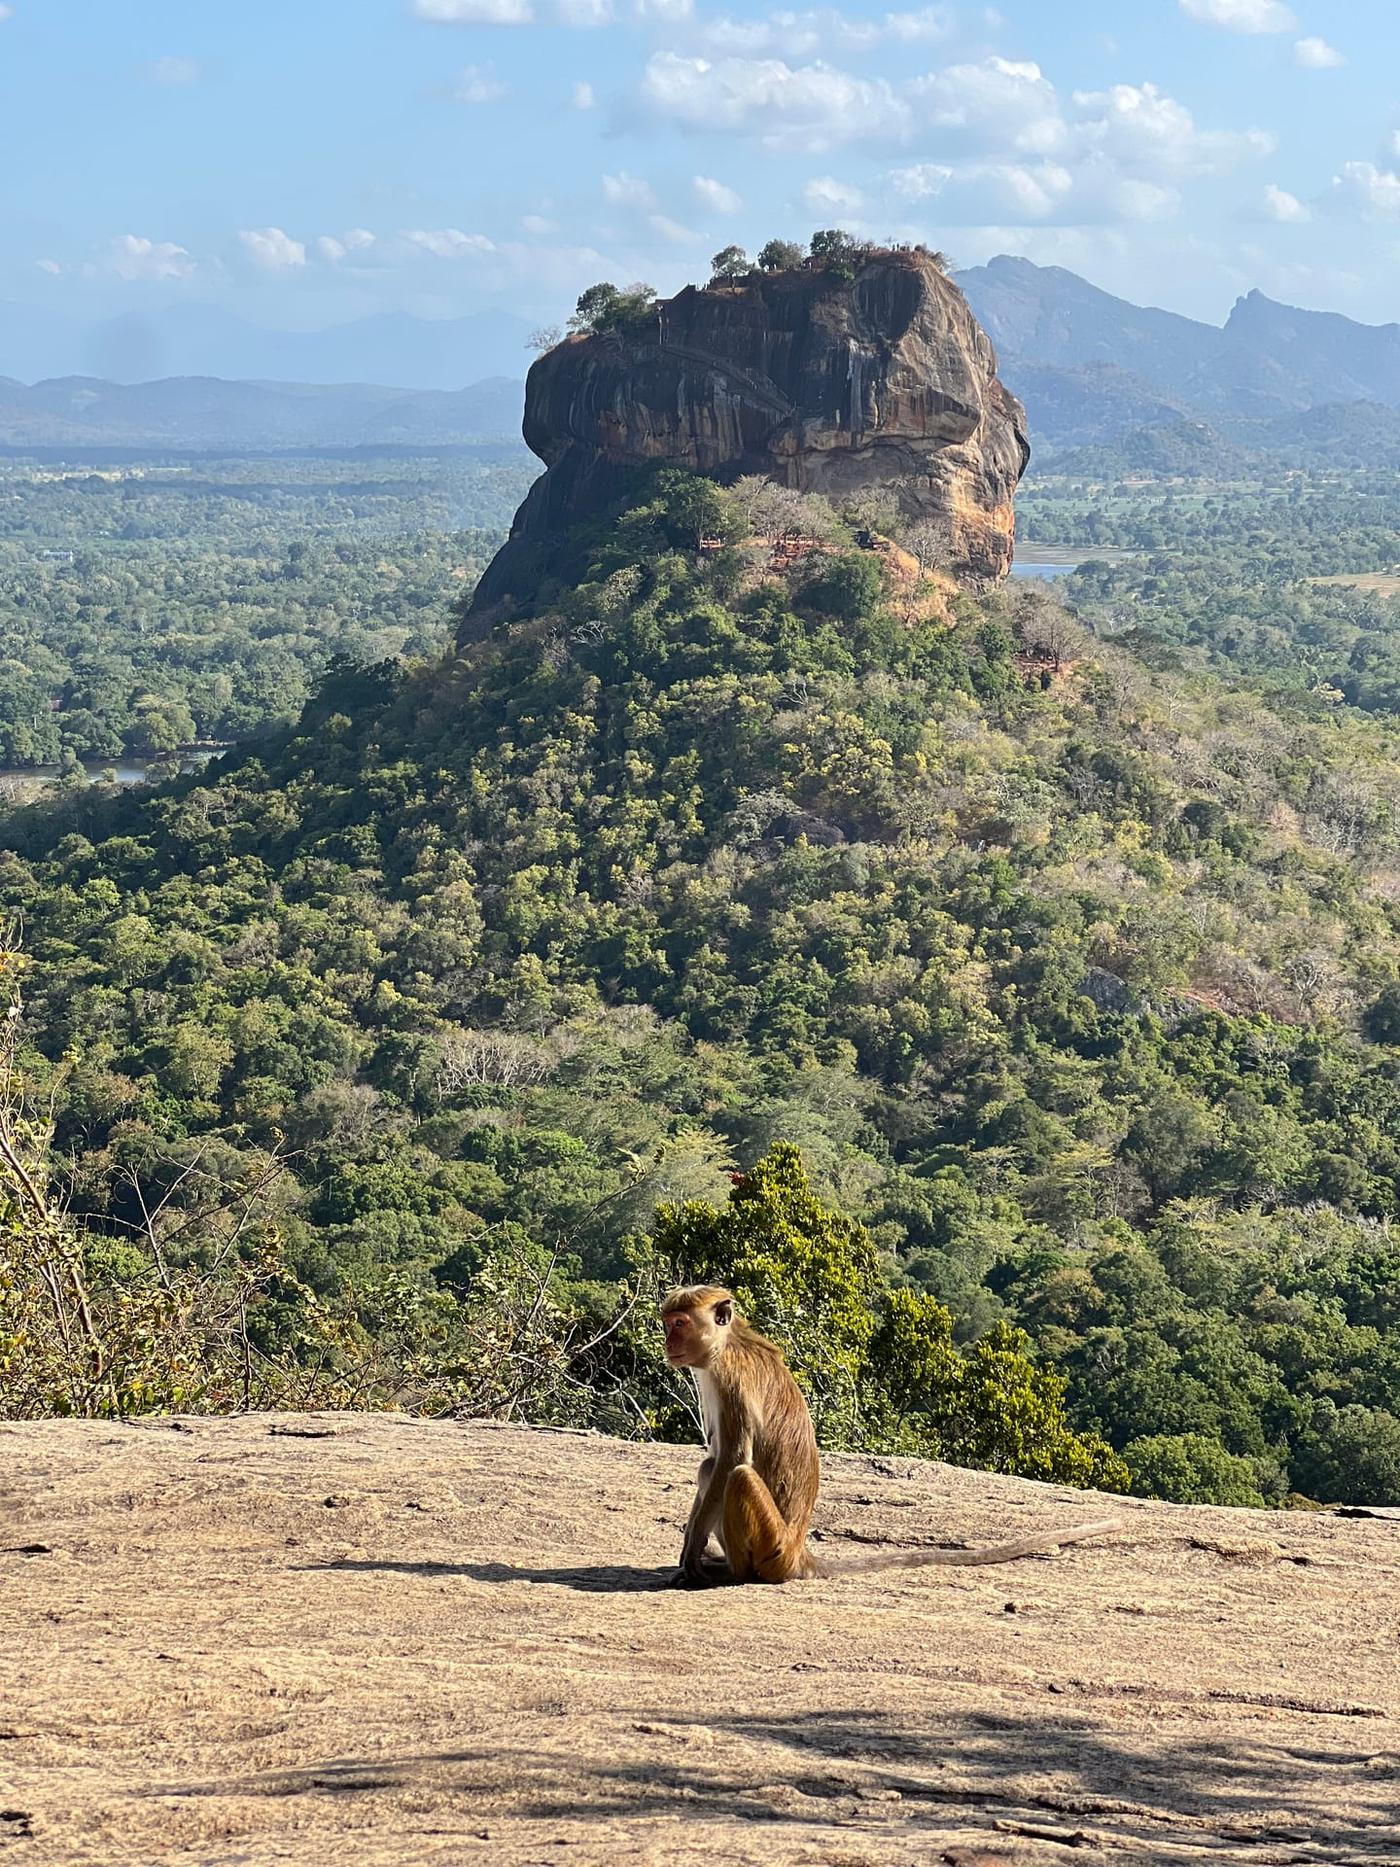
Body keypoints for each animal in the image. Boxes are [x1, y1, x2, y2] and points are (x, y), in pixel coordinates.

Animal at [660, 1284, 1123, 1586]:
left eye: (679, 1323)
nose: (667, 1343)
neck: (726, 1344)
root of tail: (798, 1554)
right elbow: (715, 1459)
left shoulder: (731, 1380)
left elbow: (732, 1458)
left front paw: (693, 1549)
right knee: (709, 1469)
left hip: (772, 1543)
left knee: (736, 1476)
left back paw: (733, 1571)